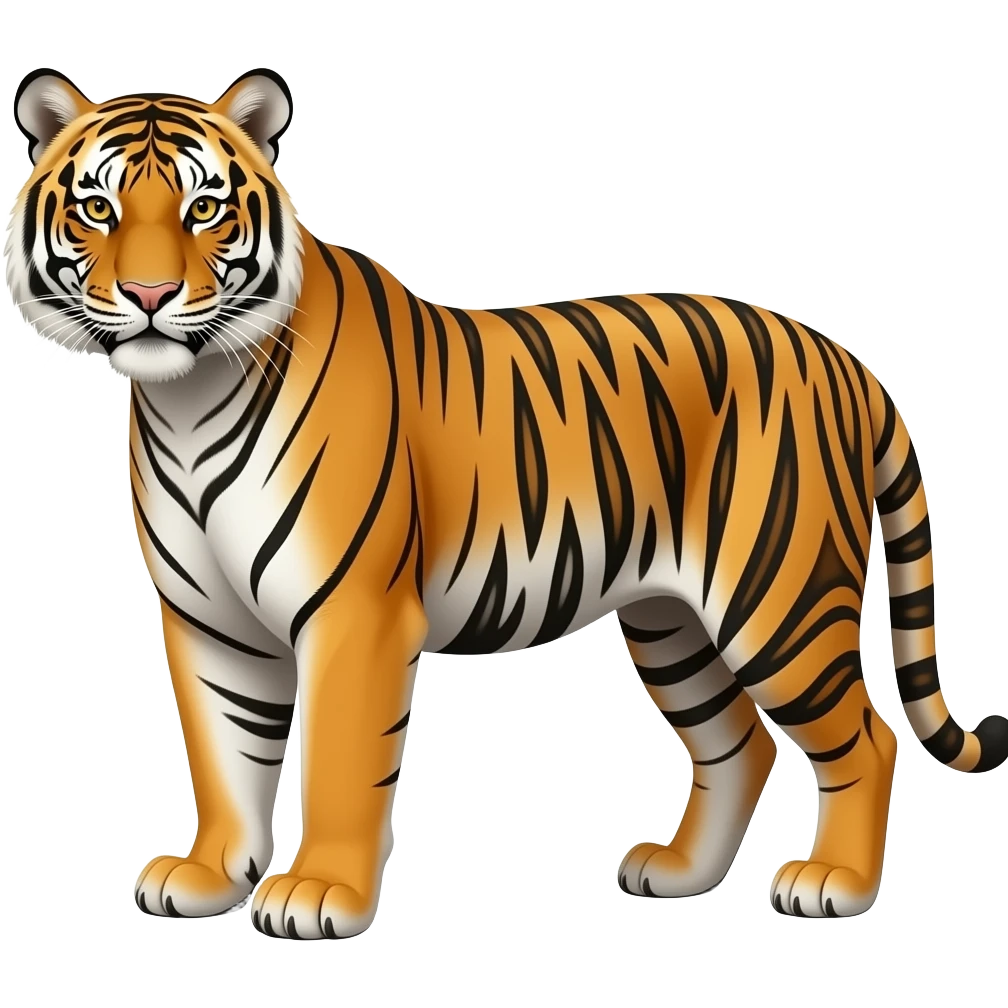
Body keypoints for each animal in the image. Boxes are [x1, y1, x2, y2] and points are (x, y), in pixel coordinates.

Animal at [6, 65, 1004, 940]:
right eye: (97, 208)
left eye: (204, 209)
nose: (149, 294)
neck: (188, 397)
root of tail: (843, 358)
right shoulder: (207, 621)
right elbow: (224, 754)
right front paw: (212, 875)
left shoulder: (353, 613)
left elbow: (336, 762)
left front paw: (318, 894)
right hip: (672, 619)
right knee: (738, 744)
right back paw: (679, 872)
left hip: (778, 599)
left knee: (866, 740)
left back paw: (833, 885)